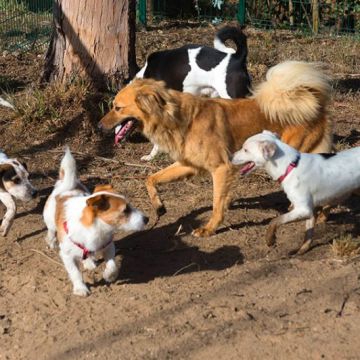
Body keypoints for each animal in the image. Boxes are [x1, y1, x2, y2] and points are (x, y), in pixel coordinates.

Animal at [43, 147, 148, 296]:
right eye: (125, 210)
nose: (147, 219)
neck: (97, 229)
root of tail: (66, 187)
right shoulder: (67, 256)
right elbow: (75, 273)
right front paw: (80, 288)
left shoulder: (108, 246)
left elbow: (112, 264)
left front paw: (109, 275)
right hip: (51, 222)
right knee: (51, 232)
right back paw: (52, 242)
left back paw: (89, 262)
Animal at [97, 60, 332, 238]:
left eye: (117, 108)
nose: (99, 126)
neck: (180, 119)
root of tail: (313, 99)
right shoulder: (187, 165)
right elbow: (150, 179)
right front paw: (159, 205)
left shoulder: (221, 168)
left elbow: (217, 203)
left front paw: (209, 229)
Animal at [231, 131, 360, 255]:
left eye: (245, 150)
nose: (230, 157)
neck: (290, 166)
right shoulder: (310, 210)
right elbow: (308, 233)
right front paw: (302, 250)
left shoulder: (303, 210)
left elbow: (275, 220)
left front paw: (270, 239)